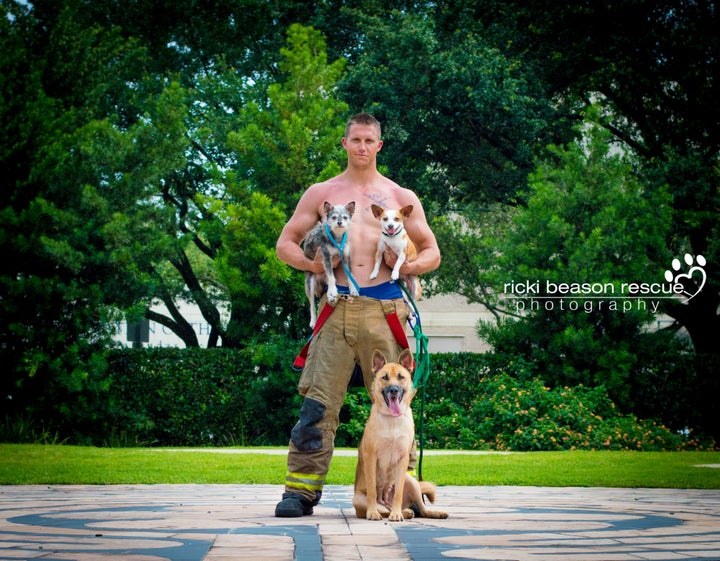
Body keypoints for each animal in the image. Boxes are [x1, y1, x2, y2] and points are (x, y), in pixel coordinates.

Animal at [352, 350, 448, 520]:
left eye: (401, 377)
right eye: (384, 377)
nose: (394, 390)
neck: (392, 419)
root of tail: (384, 501)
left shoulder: (403, 459)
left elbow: (398, 492)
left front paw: (396, 514)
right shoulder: (371, 456)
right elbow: (372, 490)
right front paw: (372, 512)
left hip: (412, 482)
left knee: (421, 509)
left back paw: (415, 512)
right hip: (357, 498)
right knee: (383, 509)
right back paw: (384, 511)